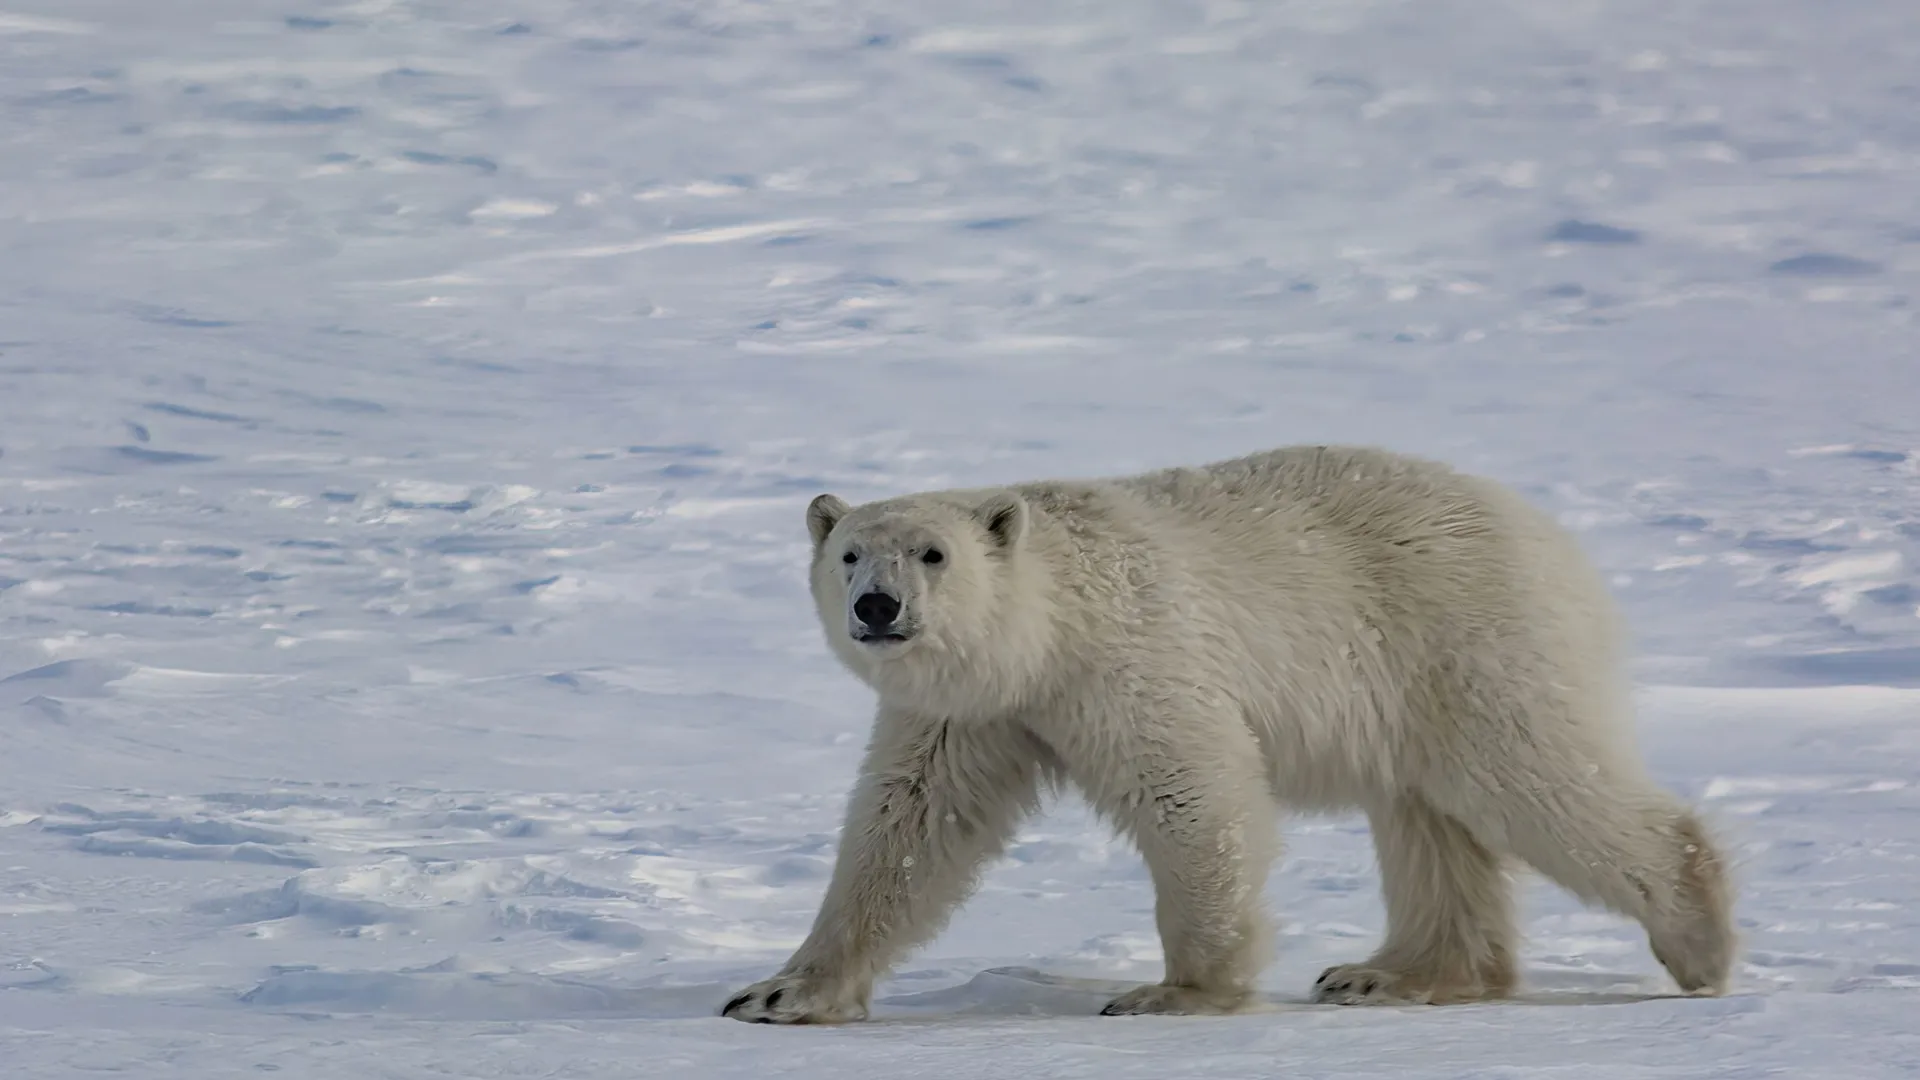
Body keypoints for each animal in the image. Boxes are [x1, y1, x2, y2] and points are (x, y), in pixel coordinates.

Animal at [721, 441, 1743, 1022]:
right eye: (850, 552)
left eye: (933, 553)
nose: (878, 607)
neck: (1048, 633)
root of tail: (1546, 532)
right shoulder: (967, 713)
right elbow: (907, 827)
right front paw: (778, 992)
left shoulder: (1131, 658)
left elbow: (1191, 789)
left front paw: (1175, 992)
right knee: (1427, 821)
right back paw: (1388, 975)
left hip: (1466, 635)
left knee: (1530, 778)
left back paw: (1698, 940)